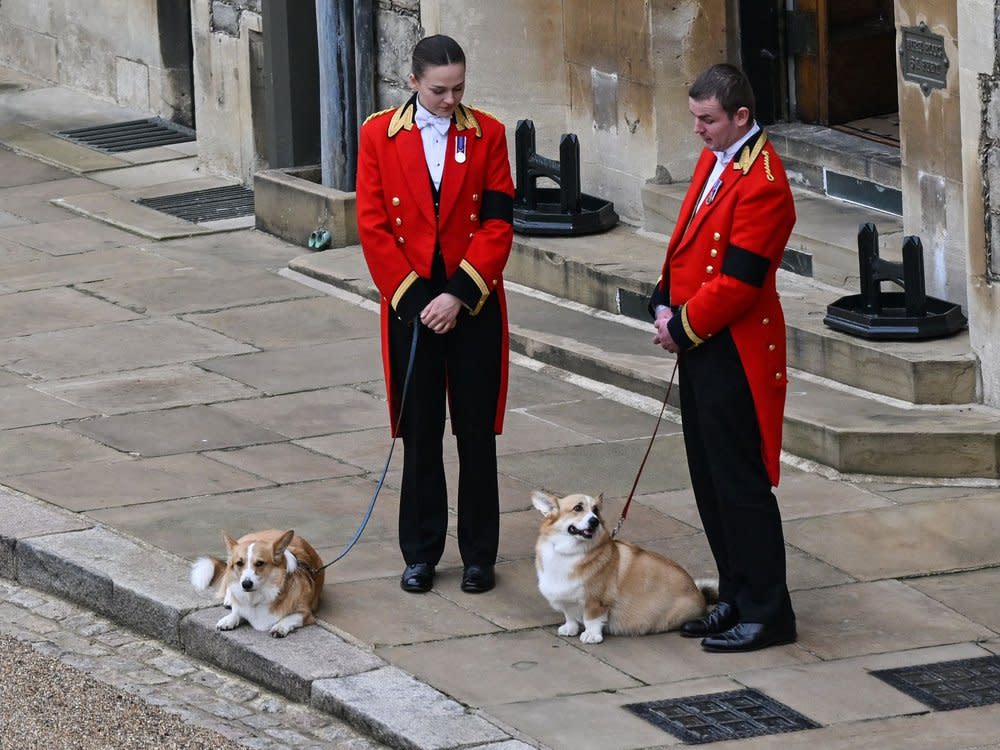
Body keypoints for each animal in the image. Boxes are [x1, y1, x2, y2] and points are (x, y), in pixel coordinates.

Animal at [190, 528, 324, 640]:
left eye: (260, 563)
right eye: (239, 563)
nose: (246, 584)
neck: (257, 597)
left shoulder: (306, 614)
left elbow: (290, 618)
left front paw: (280, 627)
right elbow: (237, 612)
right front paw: (229, 619)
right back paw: (229, 599)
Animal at [532, 494, 712, 648]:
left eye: (596, 510)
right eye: (578, 508)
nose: (594, 521)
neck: (570, 552)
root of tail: (700, 594)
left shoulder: (596, 601)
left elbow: (592, 619)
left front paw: (591, 635)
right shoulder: (566, 598)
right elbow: (569, 615)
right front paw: (570, 628)